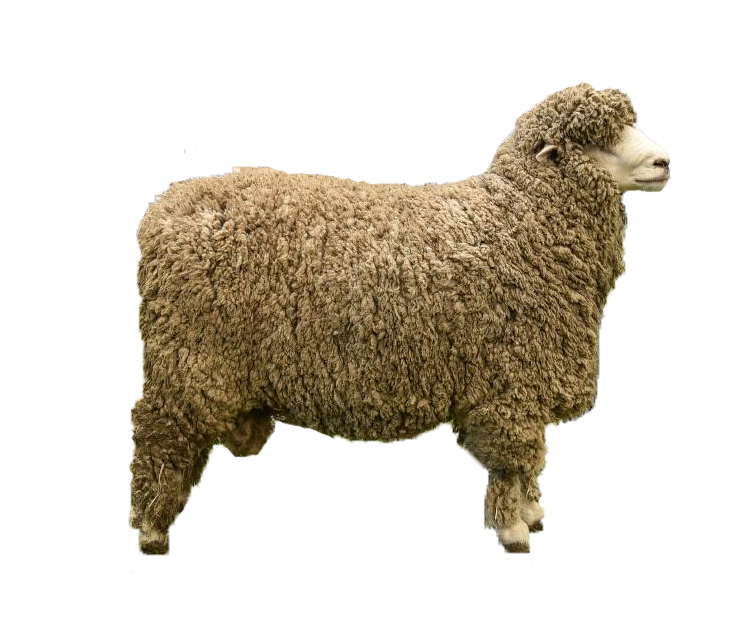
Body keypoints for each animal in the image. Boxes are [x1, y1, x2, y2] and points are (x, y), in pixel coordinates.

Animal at [128, 83, 670, 554]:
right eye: (593, 140)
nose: (664, 161)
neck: (519, 220)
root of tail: (167, 209)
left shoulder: (522, 379)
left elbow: (524, 461)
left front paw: (531, 511)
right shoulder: (512, 380)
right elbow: (512, 461)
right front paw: (513, 528)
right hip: (192, 357)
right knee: (158, 435)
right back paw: (152, 527)